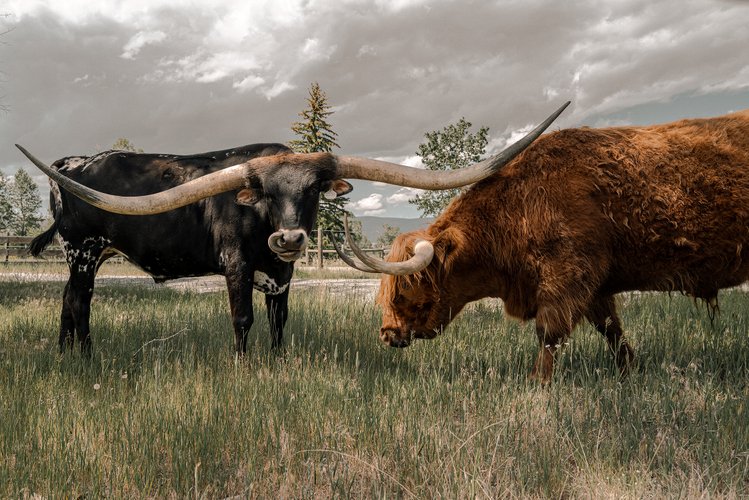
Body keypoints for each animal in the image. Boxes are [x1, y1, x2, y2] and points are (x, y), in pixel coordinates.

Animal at [16, 102, 566, 356]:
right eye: (262, 193)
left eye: (313, 192)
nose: (289, 238)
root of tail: (72, 164)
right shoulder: (236, 266)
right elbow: (242, 320)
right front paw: (243, 369)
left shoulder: (282, 276)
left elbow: (280, 322)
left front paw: (277, 364)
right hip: (83, 250)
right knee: (79, 303)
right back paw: (86, 357)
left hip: (85, 255)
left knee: (66, 301)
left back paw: (68, 355)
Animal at [335, 108, 749, 383]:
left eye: (406, 287)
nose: (388, 334)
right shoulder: (595, 287)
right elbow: (612, 330)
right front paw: (629, 371)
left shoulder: (566, 277)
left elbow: (549, 334)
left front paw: (537, 383)